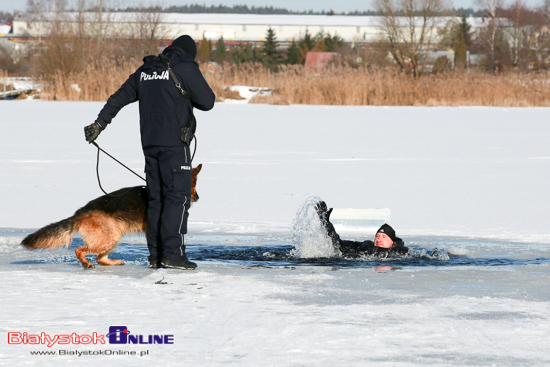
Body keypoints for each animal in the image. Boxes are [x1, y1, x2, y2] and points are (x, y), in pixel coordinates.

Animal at [21, 165, 205, 268]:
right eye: (194, 184)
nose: (198, 198)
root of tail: (80, 212)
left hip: (113, 236)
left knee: (100, 258)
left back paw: (113, 262)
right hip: (111, 236)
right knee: (81, 250)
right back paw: (86, 263)